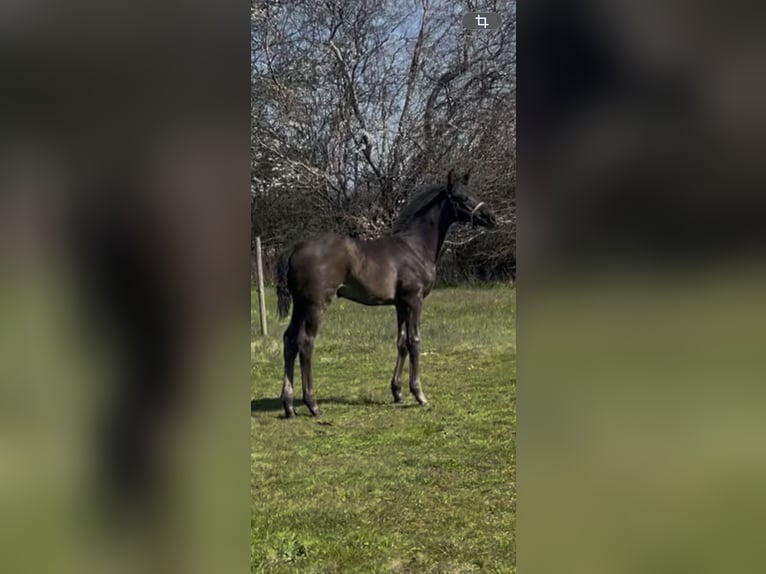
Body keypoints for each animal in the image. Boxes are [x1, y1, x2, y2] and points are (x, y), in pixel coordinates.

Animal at [274, 169, 498, 418]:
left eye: (473, 192)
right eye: (461, 198)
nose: (491, 218)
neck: (414, 247)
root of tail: (294, 248)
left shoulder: (400, 303)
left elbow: (401, 342)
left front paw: (397, 392)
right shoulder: (414, 299)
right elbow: (414, 341)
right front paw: (419, 394)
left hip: (300, 304)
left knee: (289, 340)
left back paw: (288, 405)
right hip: (315, 304)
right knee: (305, 342)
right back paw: (312, 404)